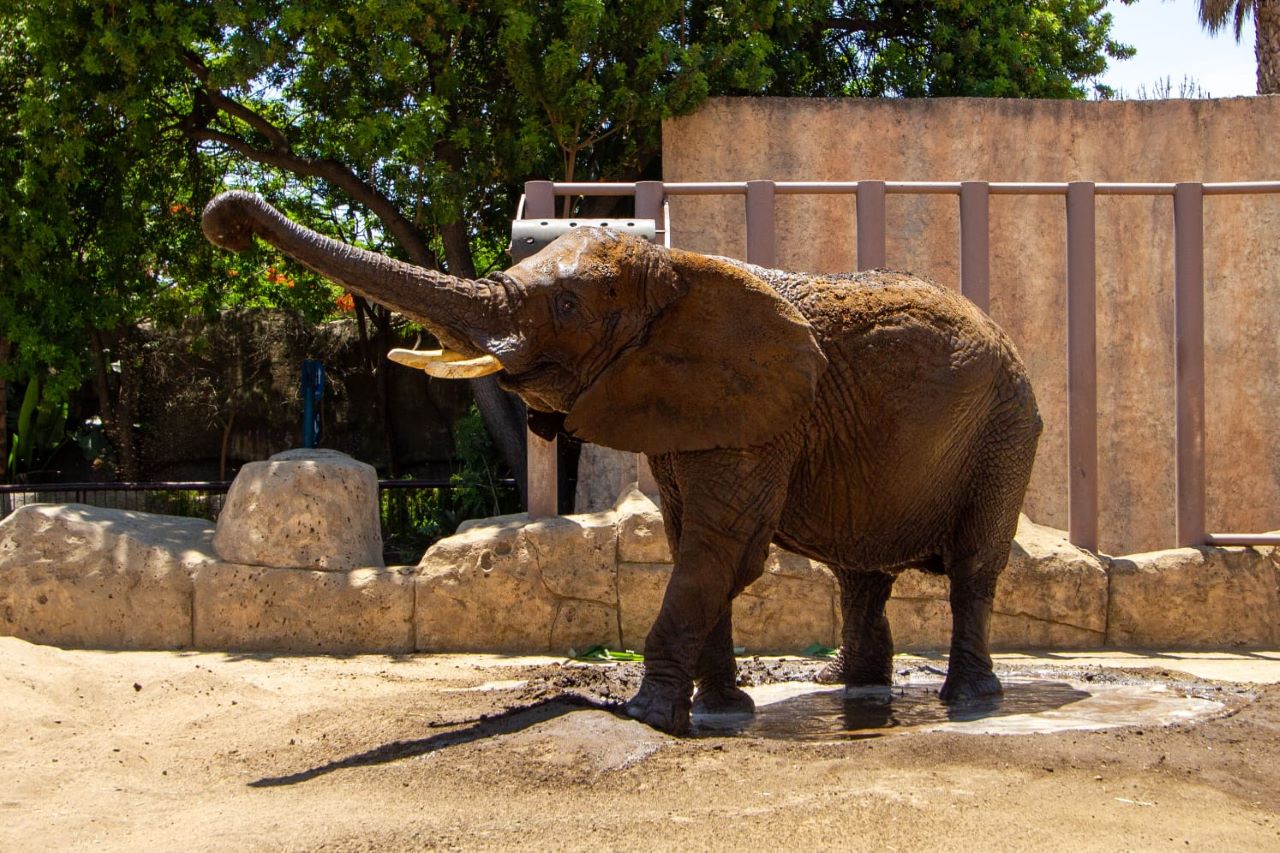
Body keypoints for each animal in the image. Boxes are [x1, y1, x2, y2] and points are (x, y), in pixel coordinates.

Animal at [199, 190, 1039, 732]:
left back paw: (969, 702)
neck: (679, 268)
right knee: (860, 575)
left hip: (1006, 430)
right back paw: (854, 691)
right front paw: (720, 713)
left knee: (972, 568)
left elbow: (719, 550)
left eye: (568, 306)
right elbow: (693, 546)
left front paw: (644, 715)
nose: (226, 220)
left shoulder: (763, 415)